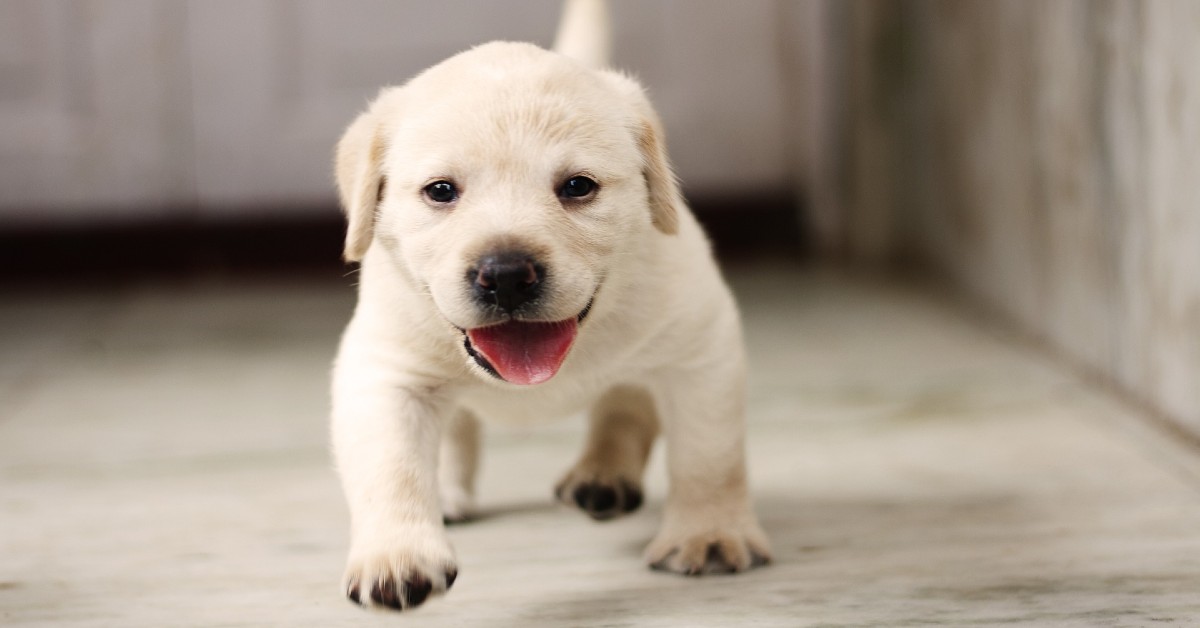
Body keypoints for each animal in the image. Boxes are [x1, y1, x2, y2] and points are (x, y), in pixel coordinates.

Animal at [333, 0, 772, 612]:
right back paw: (450, 491)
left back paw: (603, 475)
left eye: (578, 187)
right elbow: (390, 466)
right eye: (440, 191)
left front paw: (709, 534)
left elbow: (709, 455)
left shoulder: (701, 349)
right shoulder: (384, 371)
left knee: (625, 406)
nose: (506, 276)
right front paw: (397, 555)